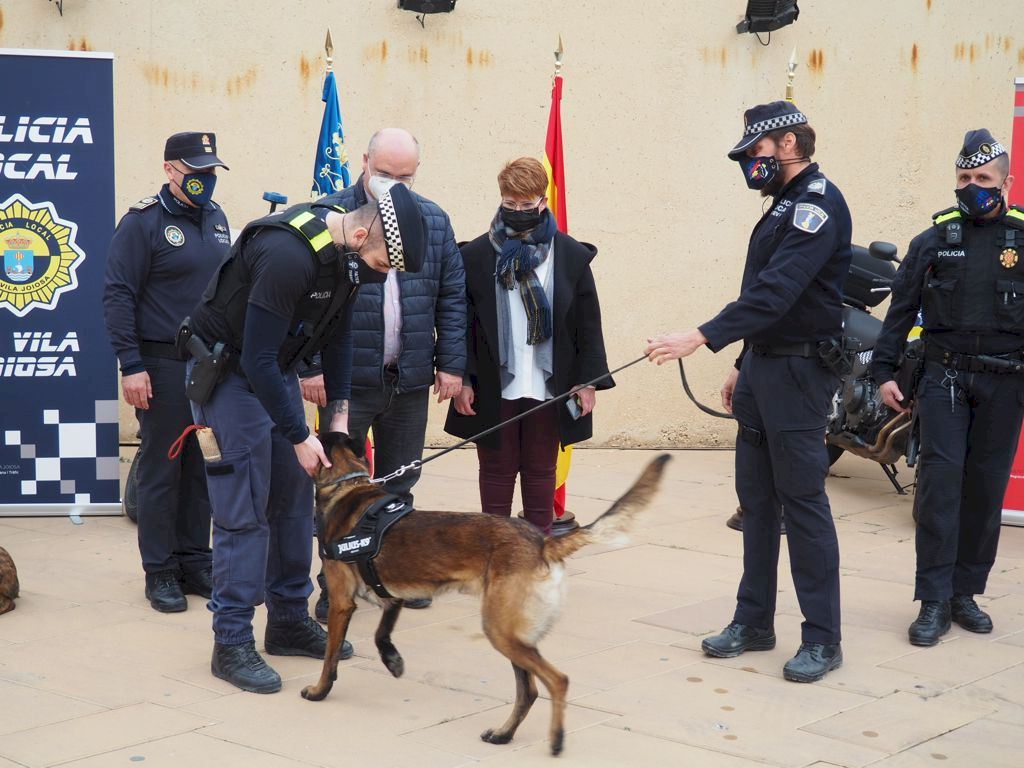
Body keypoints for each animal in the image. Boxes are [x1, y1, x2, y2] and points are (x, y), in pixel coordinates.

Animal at [302, 432, 670, 756]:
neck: (347, 484)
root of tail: (542, 542)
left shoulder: (341, 603)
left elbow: (331, 657)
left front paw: (320, 690)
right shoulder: (392, 597)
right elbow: (382, 633)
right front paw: (393, 661)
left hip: (500, 630)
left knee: (557, 681)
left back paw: (556, 740)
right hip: (513, 634)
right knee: (529, 691)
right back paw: (504, 734)